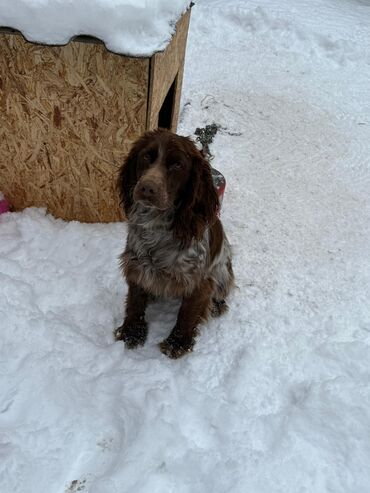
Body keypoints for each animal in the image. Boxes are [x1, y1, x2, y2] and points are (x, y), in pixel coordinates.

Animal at [114, 127, 233, 358]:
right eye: (146, 157)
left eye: (177, 165)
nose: (147, 188)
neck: (157, 226)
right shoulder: (136, 264)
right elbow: (135, 300)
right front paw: (131, 332)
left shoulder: (198, 280)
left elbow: (187, 313)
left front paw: (176, 343)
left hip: (222, 270)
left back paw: (216, 305)